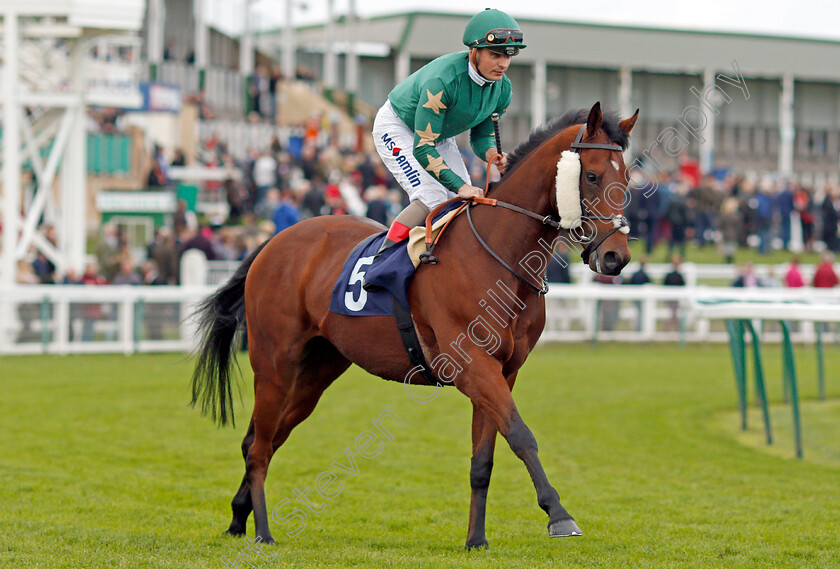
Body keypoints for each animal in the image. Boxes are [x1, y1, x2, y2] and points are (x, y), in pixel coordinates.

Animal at [190, 103, 636, 552]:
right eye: (592, 175)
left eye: (628, 177)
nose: (616, 258)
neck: (501, 255)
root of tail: (273, 241)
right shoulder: (472, 364)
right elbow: (521, 435)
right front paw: (559, 515)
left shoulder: (503, 371)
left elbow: (484, 459)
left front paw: (476, 539)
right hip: (273, 362)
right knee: (260, 446)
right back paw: (263, 531)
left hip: (317, 369)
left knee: (264, 437)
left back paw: (239, 517)